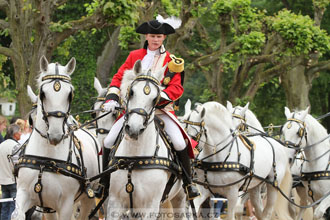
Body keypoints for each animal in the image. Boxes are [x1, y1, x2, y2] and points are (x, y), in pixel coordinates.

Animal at [12, 56, 100, 220]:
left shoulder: (66, 204)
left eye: (70, 94)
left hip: (88, 197)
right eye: (43, 93)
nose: (55, 135)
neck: (46, 159)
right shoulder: (28, 196)